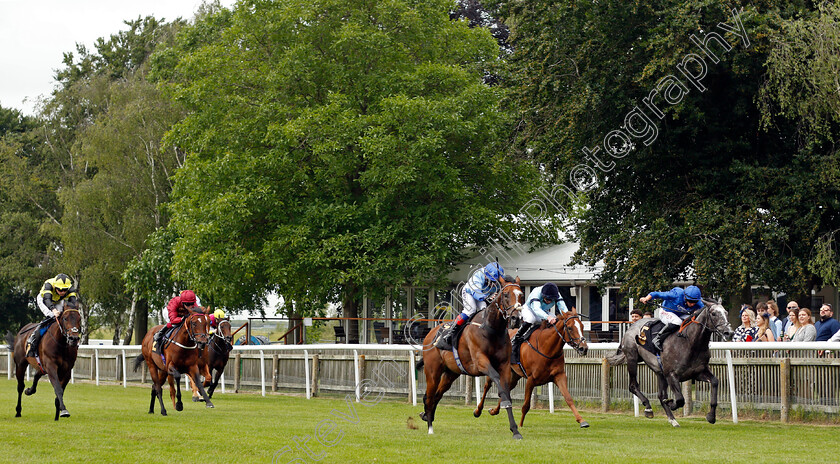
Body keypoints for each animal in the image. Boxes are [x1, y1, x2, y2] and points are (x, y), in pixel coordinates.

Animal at [416, 276, 520, 438]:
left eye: (521, 294)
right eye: (506, 294)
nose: (516, 318)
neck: (491, 329)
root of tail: (430, 334)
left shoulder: (504, 365)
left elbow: (506, 389)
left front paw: (515, 430)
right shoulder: (481, 362)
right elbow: (498, 383)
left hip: (450, 374)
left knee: (437, 395)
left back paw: (427, 416)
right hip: (432, 372)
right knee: (429, 397)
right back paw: (430, 428)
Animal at [608, 300, 732, 428]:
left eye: (726, 312)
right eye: (713, 313)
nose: (729, 332)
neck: (690, 342)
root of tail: (631, 326)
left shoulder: (698, 373)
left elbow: (715, 382)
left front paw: (711, 416)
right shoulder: (671, 375)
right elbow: (680, 399)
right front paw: (671, 403)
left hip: (659, 372)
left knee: (661, 395)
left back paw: (672, 420)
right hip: (632, 358)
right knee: (633, 386)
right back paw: (648, 408)